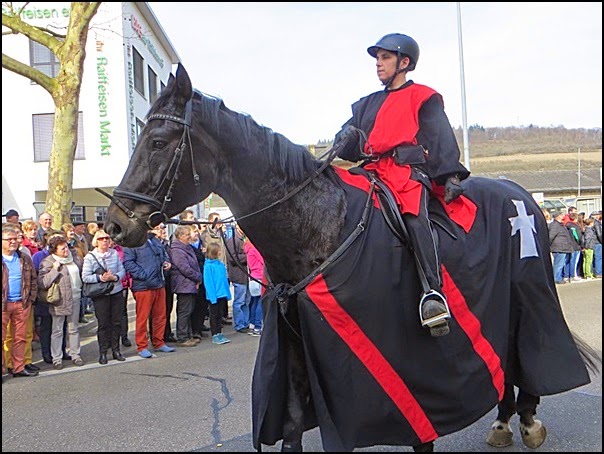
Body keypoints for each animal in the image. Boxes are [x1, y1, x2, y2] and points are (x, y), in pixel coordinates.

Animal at [104, 65, 600, 452]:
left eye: (159, 141)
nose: (114, 225)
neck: (318, 221)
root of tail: (522, 196)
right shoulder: (297, 345)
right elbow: (291, 426)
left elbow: (419, 430)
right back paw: (502, 420)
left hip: (527, 294)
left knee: (526, 354)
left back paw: (527, 419)